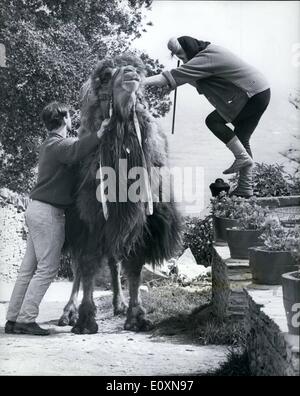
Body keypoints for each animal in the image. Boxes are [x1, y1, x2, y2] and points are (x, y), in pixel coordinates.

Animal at [57, 54, 182, 332]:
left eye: (140, 71)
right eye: (105, 75)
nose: (130, 71)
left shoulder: (143, 222)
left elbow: (134, 266)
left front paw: (136, 316)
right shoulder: (89, 219)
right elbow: (88, 263)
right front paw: (85, 319)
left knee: (114, 260)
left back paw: (119, 304)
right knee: (79, 266)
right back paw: (68, 312)